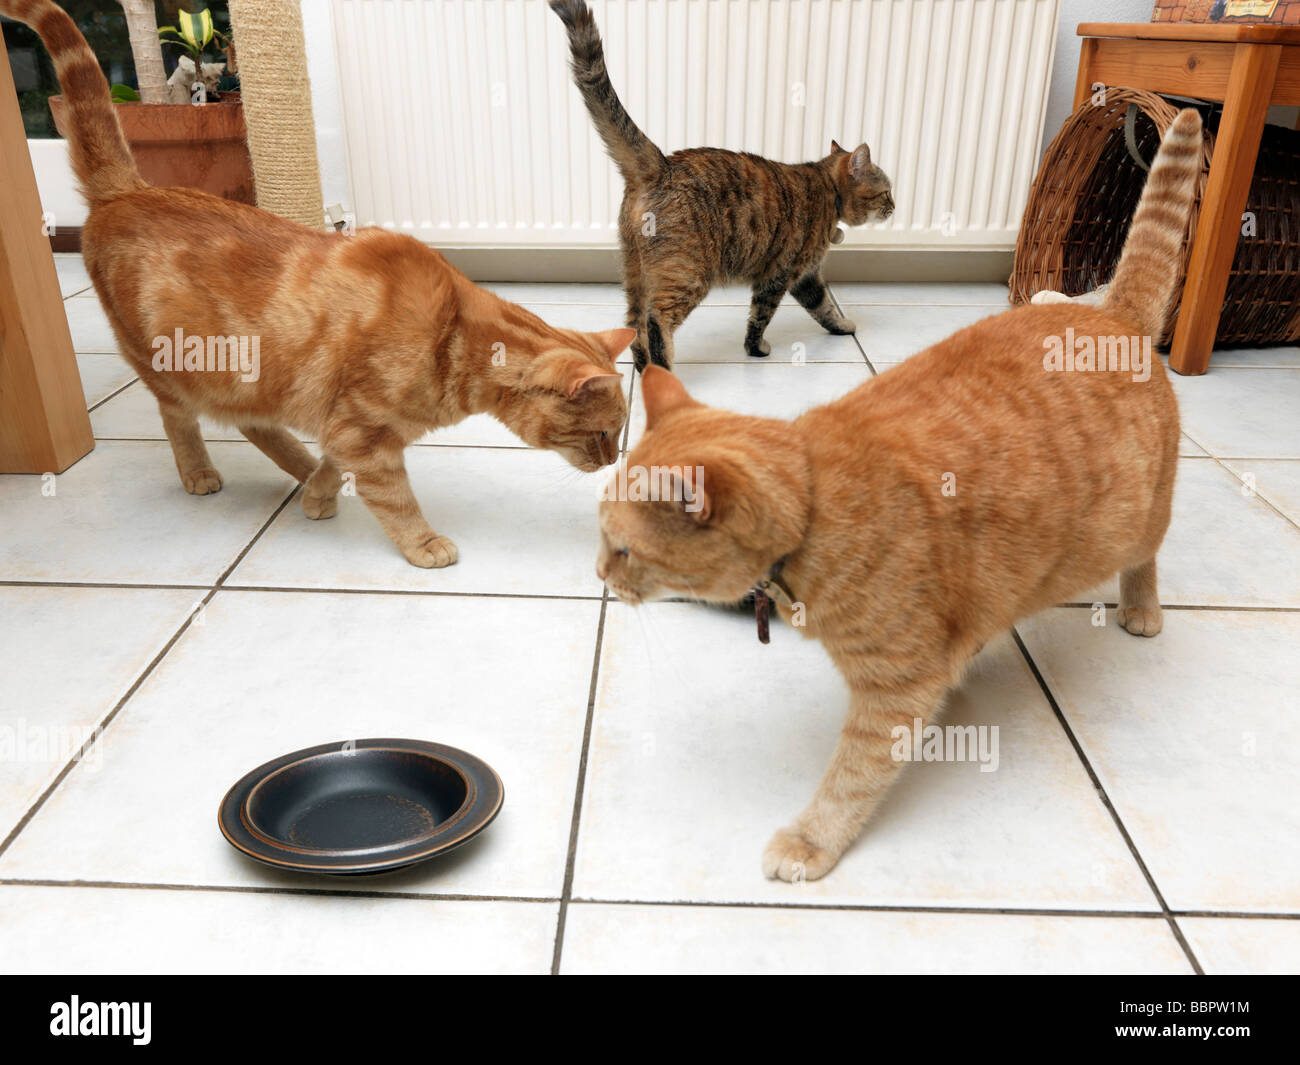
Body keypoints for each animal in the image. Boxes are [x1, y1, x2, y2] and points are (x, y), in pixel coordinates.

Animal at [11, 0, 634, 566]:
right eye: (605, 434)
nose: (610, 464)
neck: (452, 335)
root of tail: (126, 190)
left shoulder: (350, 426)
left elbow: (338, 463)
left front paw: (317, 496)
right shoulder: (363, 432)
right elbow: (395, 499)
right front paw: (423, 543)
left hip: (248, 380)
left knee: (256, 425)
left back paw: (298, 467)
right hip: (178, 371)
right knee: (179, 419)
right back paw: (200, 472)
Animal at [548, 1, 894, 371]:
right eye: (887, 191)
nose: (894, 206)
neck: (828, 189)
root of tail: (662, 165)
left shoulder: (807, 278)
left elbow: (824, 306)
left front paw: (842, 325)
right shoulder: (781, 274)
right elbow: (761, 316)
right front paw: (757, 349)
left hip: (634, 272)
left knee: (633, 325)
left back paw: (648, 372)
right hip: (688, 274)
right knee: (656, 321)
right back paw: (663, 369)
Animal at [595, 108, 1201, 884]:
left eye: (622, 549)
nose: (598, 575)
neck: (815, 511)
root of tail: (1113, 316)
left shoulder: (894, 689)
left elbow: (853, 774)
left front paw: (811, 841)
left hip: (1139, 519)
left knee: (1146, 557)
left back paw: (1142, 611)